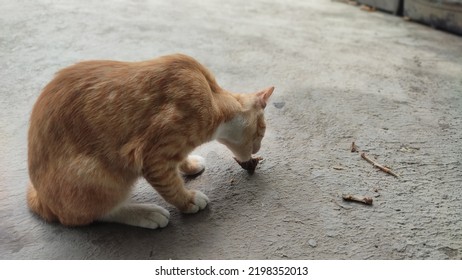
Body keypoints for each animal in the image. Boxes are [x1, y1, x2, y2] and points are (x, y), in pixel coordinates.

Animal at [27, 53, 272, 229]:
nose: (259, 147)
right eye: (262, 131)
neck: (213, 100)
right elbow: (171, 185)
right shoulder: (153, 157)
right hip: (98, 175)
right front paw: (188, 201)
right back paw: (145, 213)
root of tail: (40, 198)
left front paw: (189, 165)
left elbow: (180, 161)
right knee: (88, 215)